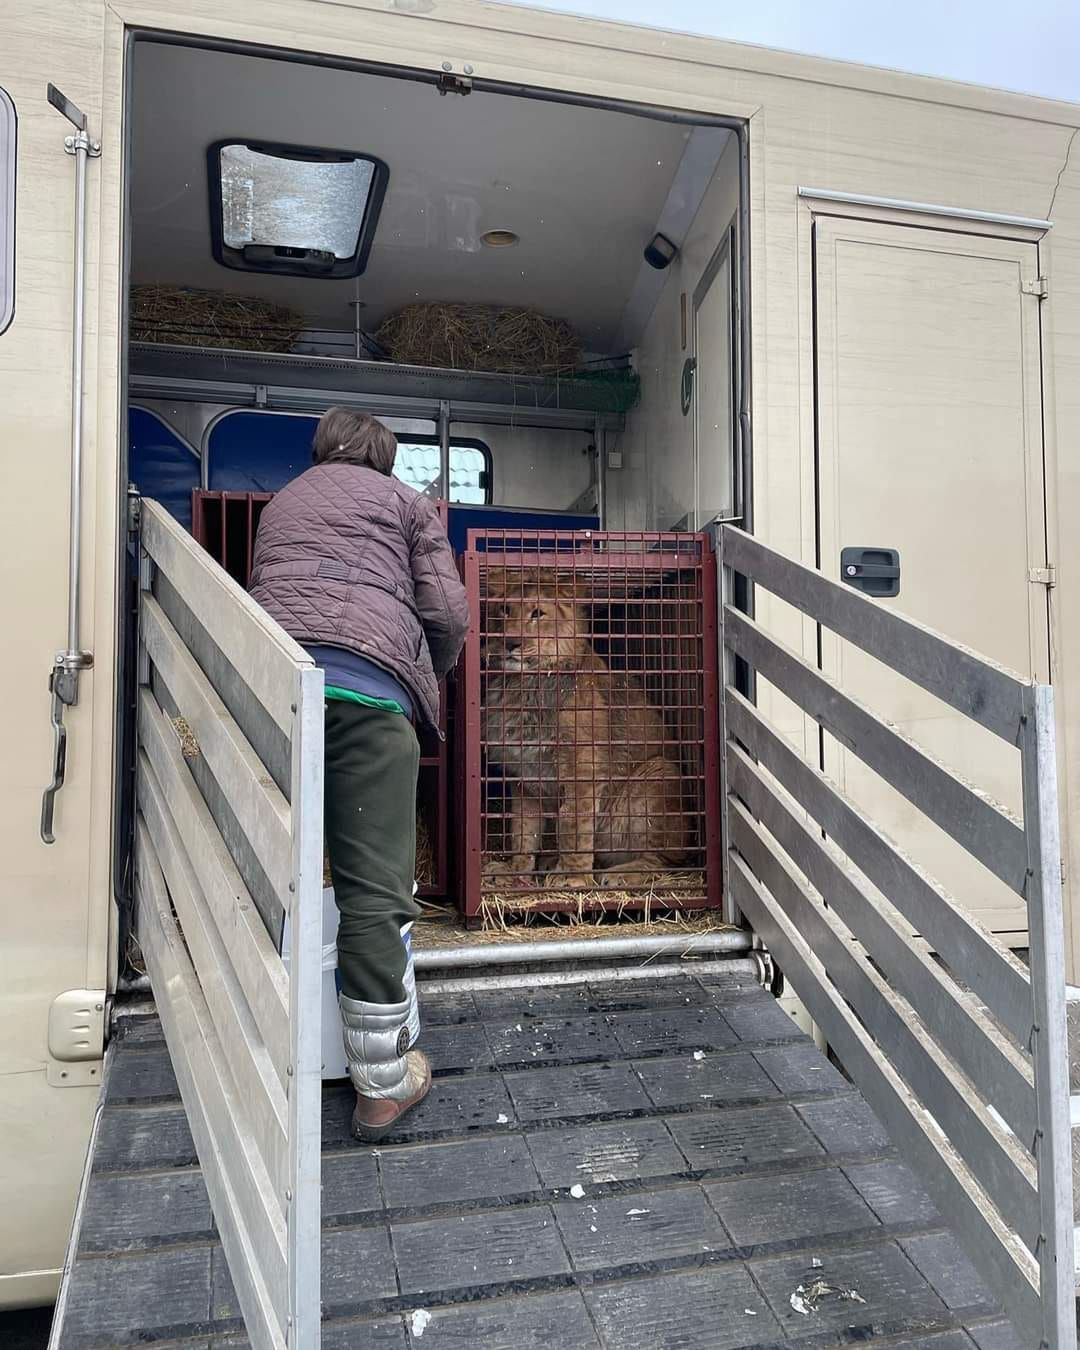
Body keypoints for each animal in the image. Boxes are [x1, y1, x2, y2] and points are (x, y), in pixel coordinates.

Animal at [483, 567, 691, 891]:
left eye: (537, 613)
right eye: (505, 610)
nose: (510, 642)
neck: (522, 686)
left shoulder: (583, 769)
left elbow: (572, 825)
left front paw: (572, 877)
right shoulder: (524, 777)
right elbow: (523, 831)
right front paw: (514, 872)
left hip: (657, 772)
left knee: (665, 861)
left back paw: (620, 874)